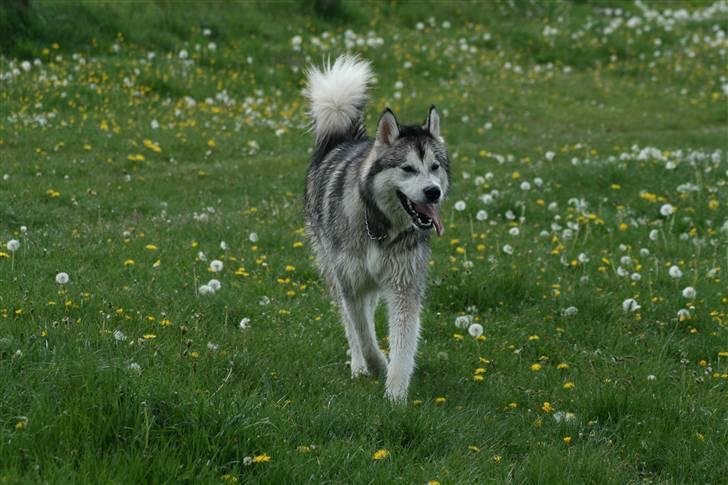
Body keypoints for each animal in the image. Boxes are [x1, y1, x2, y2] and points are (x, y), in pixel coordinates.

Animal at [302, 54, 450, 402]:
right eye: (407, 168)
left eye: (435, 166)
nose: (433, 192)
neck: (380, 227)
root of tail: (343, 140)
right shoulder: (350, 283)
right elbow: (363, 334)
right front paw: (377, 364)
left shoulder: (404, 284)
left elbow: (403, 341)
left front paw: (395, 393)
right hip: (335, 270)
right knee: (352, 324)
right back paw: (358, 366)